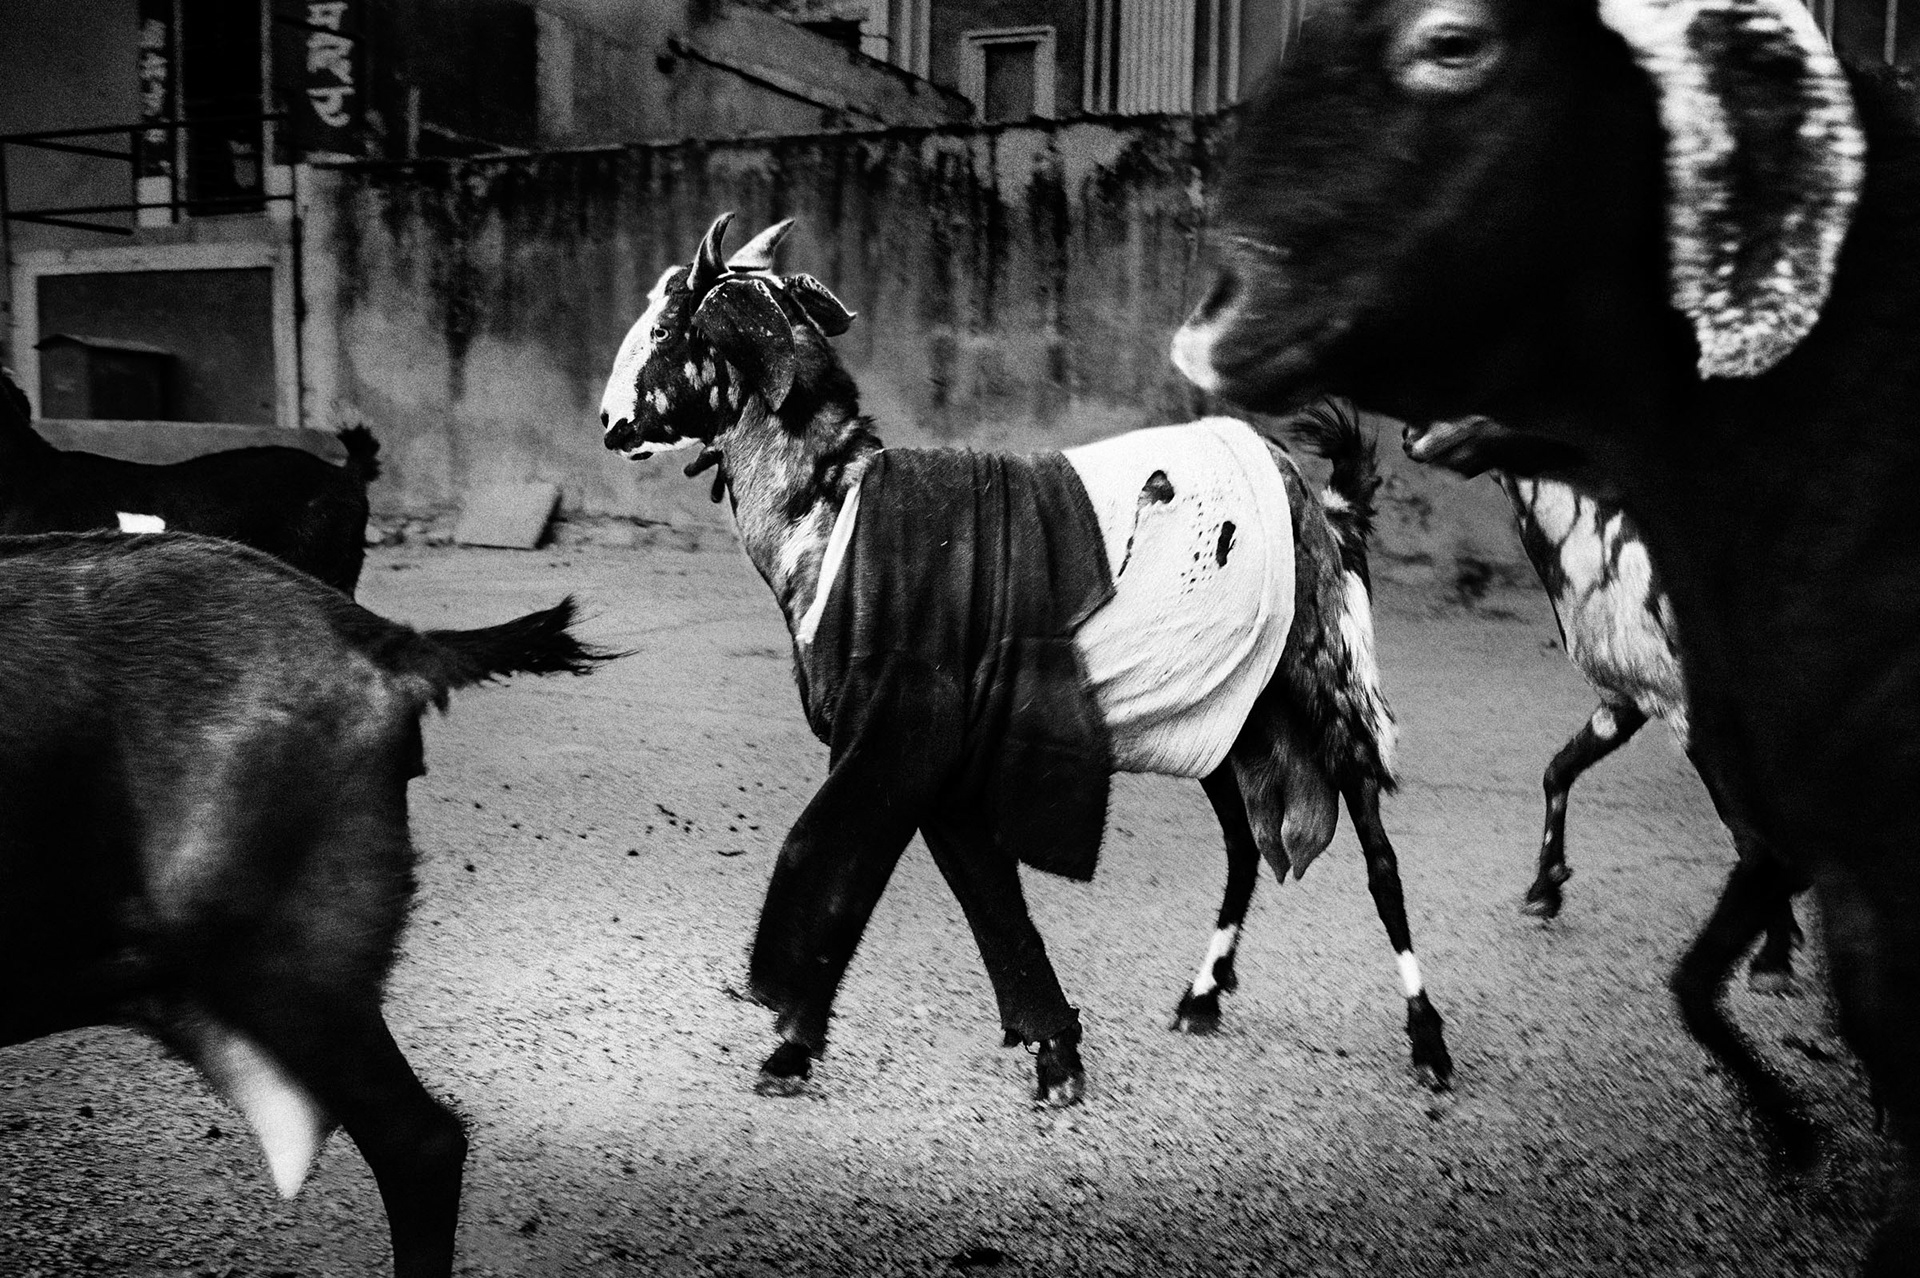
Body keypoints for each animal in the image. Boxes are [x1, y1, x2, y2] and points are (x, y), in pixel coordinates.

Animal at [598, 213, 1451, 1108]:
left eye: (667, 328)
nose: (610, 422)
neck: (833, 513)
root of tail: (1321, 506)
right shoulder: (937, 759)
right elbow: (981, 883)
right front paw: (1055, 1050)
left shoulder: (895, 732)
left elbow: (836, 857)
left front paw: (791, 1045)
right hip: (1229, 716)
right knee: (1246, 846)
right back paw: (1202, 997)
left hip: (1325, 684)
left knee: (1379, 859)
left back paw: (1428, 1043)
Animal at [1171, 1, 1920, 1268]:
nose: (1416, 435)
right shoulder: (1639, 707)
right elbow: (1564, 772)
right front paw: (1550, 889)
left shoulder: (1707, 729)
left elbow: (1737, 878)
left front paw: (1781, 1036)